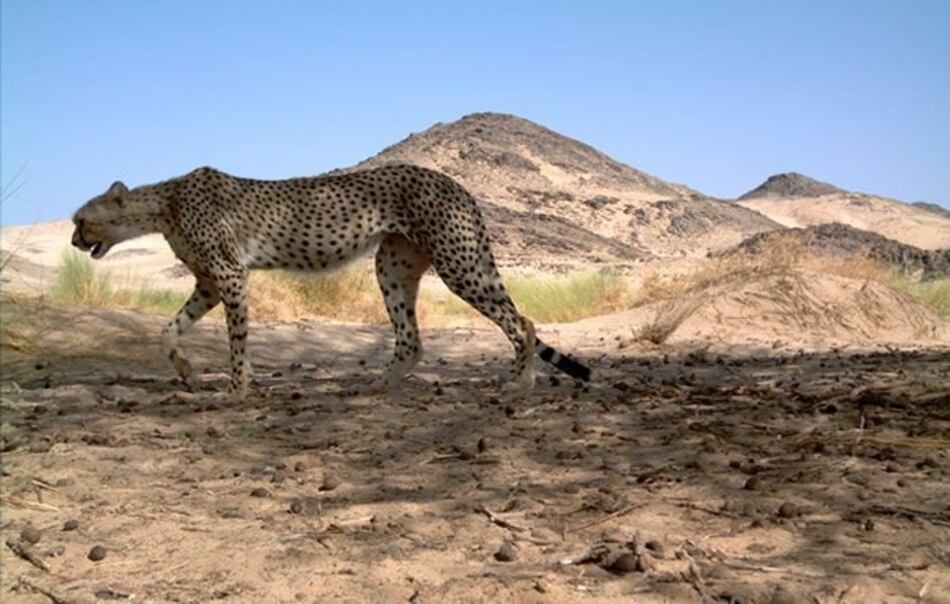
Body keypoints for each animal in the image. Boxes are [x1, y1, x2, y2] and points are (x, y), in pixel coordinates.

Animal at [71, 164, 591, 400]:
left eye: (81, 219)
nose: (74, 241)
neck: (164, 204)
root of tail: (453, 181)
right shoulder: (209, 284)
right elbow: (169, 329)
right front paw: (185, 370)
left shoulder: (230, 276)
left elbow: (237, 341)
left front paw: (238, 387)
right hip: (393, 266)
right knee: (411, 339)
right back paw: (376, 385)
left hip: (458, 262)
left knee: (521, 321)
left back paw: (521, 380)